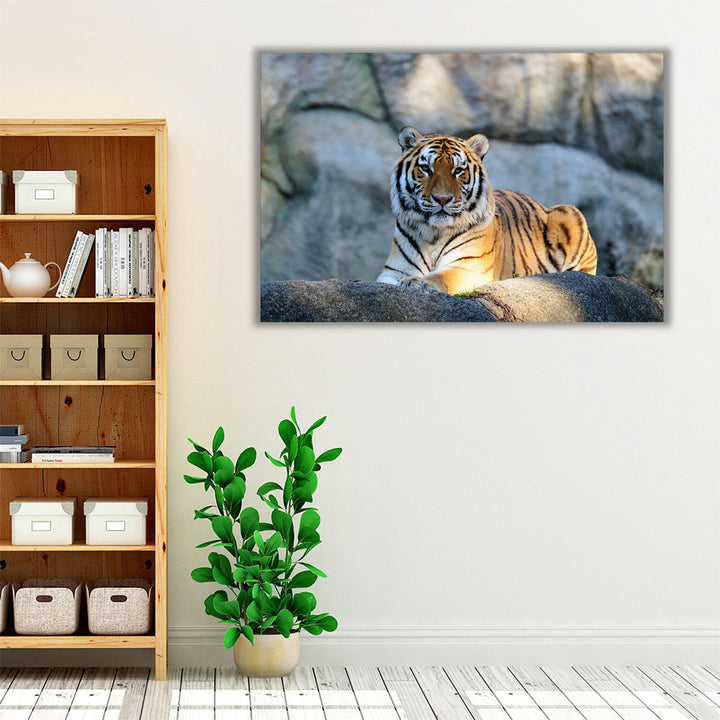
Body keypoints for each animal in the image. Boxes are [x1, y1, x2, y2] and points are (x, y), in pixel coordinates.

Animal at [376, 126, 598, 295]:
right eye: (426, 169)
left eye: (458, 171)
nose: (442, 199)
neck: (434, 233)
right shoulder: (394, 270)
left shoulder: (468, 266)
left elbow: (440, 277)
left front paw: (415, 282)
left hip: (569, 213)